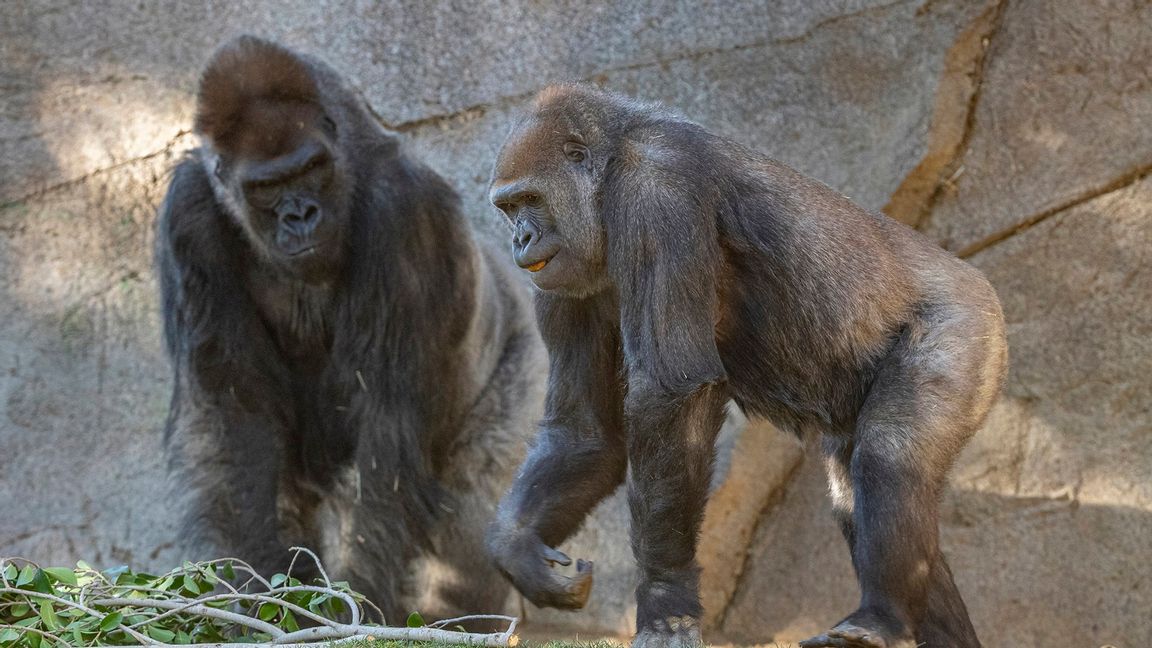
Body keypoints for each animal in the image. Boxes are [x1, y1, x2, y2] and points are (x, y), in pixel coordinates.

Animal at [155, 36, 546, 622]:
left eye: (311, 168)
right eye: (266, 186)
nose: (300, 216)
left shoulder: (404, 211)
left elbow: (384, 440)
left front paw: (354, 606)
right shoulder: (189, 213)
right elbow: (239, 422)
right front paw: (257, 595)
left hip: (525, 366)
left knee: (468, 525)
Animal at [486, 83, 1009, 645]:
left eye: (531, 201)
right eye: (509, 207)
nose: (520, 239)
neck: (608, 171)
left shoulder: (656, 188)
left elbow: (671, 393)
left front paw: (666, 596)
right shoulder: (558, 281)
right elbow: (585, 432)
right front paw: (517, 546)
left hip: (967, 324)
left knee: (891, 454)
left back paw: (881, 617)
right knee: (857, 493)